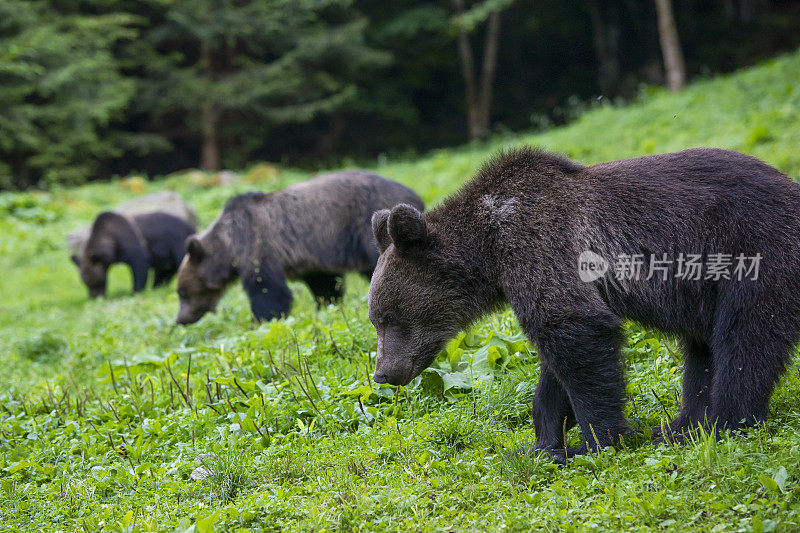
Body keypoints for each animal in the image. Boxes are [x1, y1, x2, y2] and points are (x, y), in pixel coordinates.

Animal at [176, 169, 424, 324]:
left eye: (182, 292)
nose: (180, 319)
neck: (230, 247)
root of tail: (415, 195)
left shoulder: (259, 247)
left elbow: (267, 290)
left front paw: (263, 320)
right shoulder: (314, 259)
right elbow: (324, 285)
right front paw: (327, 306)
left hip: (367, 225)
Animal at [368, 147, 800, 462]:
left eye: (388, 316)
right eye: (376, 319)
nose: (383, 373)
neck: (489, 246)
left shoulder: (541, 245)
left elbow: (577, 334)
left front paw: (592, 441)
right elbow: (556, 365)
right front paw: (545, 440)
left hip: (755, 252)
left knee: (745, 340)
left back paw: (722, 422)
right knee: (702, 352)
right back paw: (680, 427)